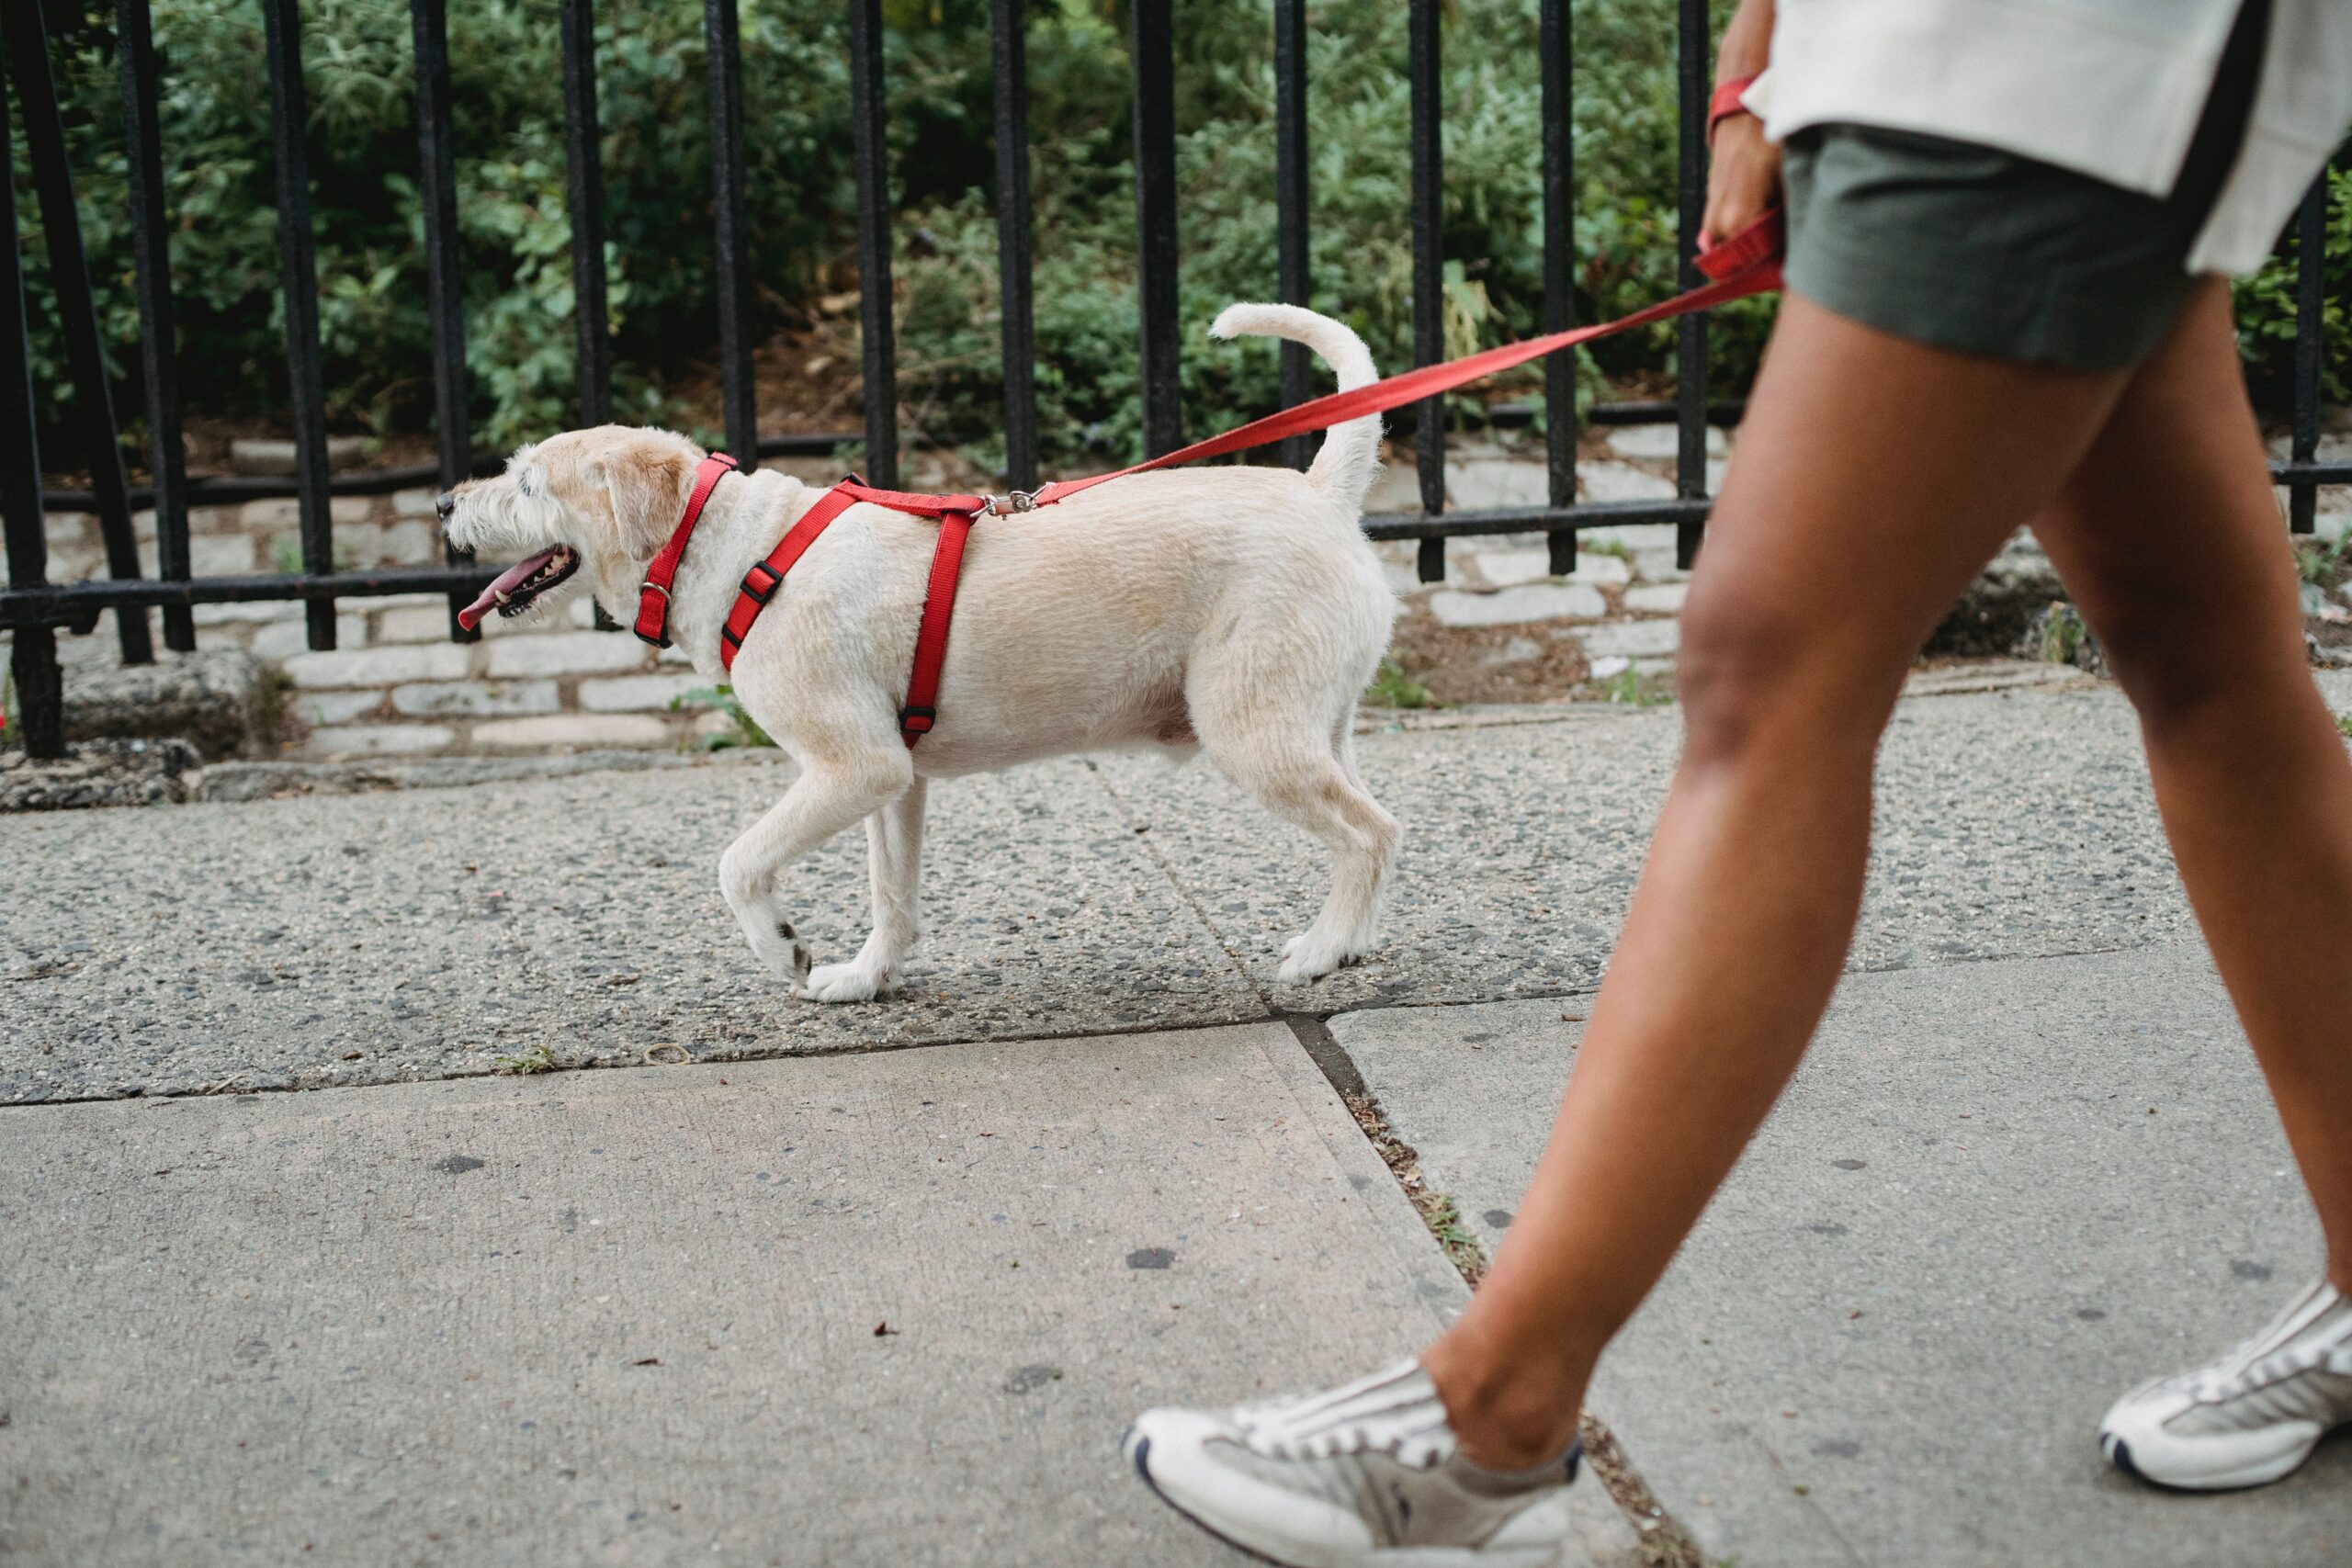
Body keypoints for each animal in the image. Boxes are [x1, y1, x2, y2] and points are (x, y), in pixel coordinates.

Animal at [439, 300, 1392, 1001]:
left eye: (528, 483)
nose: (445, 505)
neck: (739, 546)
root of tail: (1323, 493)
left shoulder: (853, 766)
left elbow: (738, 862)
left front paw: (781, 949)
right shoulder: (893, 783)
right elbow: (891, 892)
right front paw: (865, 978)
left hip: (1255, 732)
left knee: (1371, 832)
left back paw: (1321, 950)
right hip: (1319, 725)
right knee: (1373, 828)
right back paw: (1348, 942)